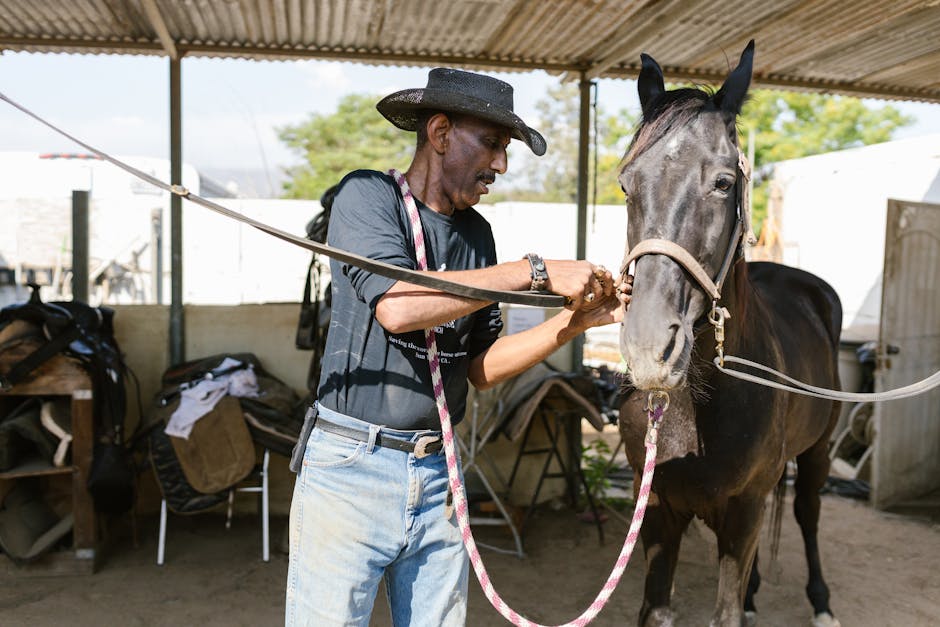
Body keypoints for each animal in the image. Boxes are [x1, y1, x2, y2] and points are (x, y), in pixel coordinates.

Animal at [616, 40, 844, 627]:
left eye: (722, 182)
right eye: (627, 184)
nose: (650, 347)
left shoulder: (743, 513)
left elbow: (726, 612)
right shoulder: (657, 511)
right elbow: (657, 608)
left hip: (817, 454)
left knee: (809, 513)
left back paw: (821, 601)